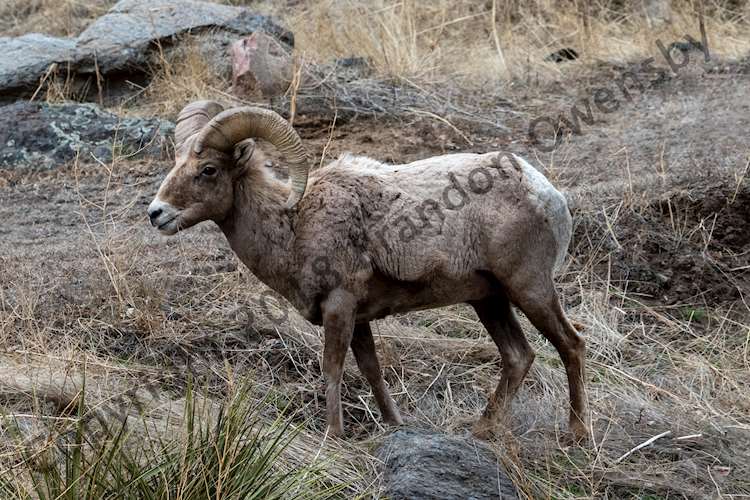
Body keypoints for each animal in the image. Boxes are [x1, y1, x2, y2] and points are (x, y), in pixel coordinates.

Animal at [150, 101, 592, 438]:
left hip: (529, 289)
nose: (156, 213)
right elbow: (372, 371)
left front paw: (333, 435)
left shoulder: (339, 307)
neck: (293, 222)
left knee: (571, 346)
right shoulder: (358, 318)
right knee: (519, 356)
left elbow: (332, 369)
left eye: (208, 169)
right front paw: (395, 424)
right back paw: (482, 430)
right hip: (490, 301)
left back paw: (575, 435)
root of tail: (547, 194)